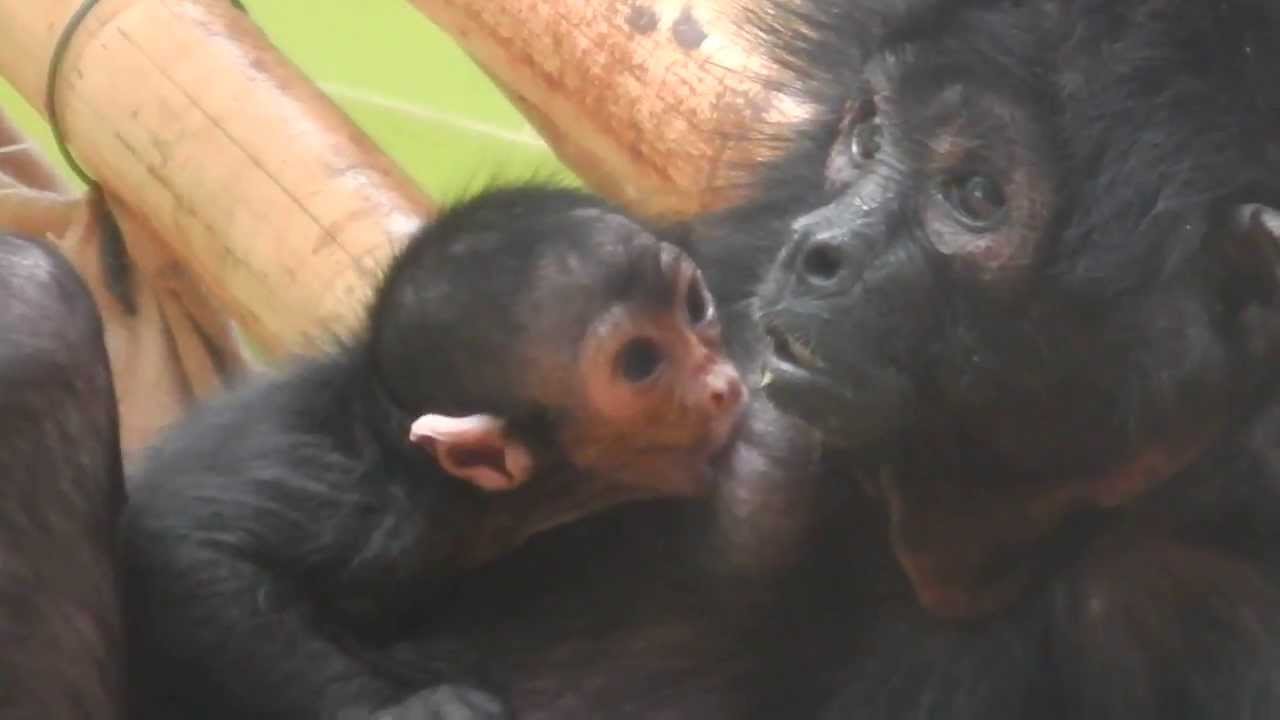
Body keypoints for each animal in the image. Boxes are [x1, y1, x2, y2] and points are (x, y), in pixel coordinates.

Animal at [118, 185, 750, 719]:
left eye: (695, 306)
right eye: (641, 363)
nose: (722, 385)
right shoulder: (362, 498)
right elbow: (188, 539)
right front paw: (394, 710)